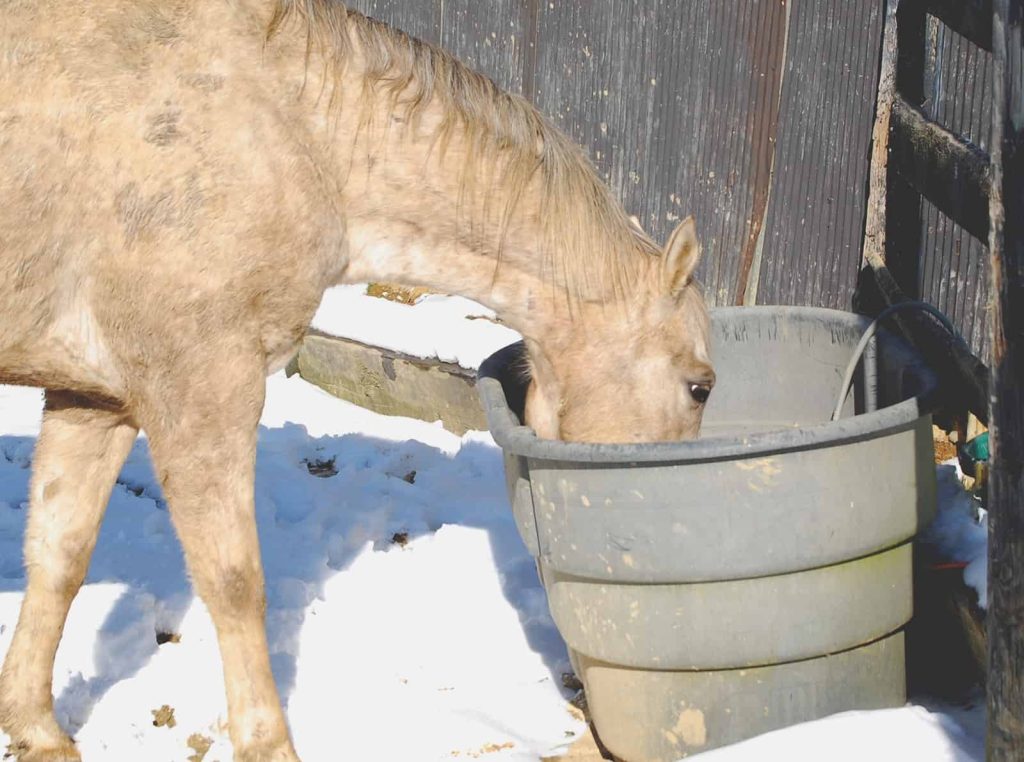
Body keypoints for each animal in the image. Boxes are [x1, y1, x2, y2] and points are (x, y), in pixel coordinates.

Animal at [0, 2, 714, 759]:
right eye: (700, 385)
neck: (293, 128)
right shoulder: (201, 390)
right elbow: (235, 582)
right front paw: (268, 743)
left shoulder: (94, 396)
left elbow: (58, 558)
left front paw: (36, 726)